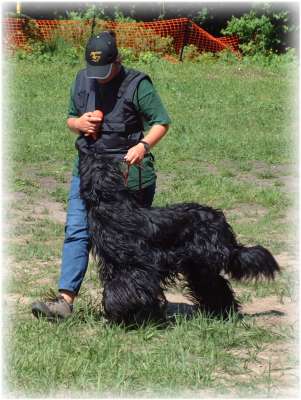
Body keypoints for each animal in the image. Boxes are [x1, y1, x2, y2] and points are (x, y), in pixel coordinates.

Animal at [75, 138, 278, 324]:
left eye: (92, 155)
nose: (82, 142)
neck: (112, 205)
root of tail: (221, 221)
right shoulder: (116, 266)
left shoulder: (138, 266)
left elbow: (120, 291)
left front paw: (121, 315)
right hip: (198, 266)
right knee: (216, 286)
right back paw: (221, 313)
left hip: (203, 263)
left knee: (216, 285)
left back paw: (223, 314)